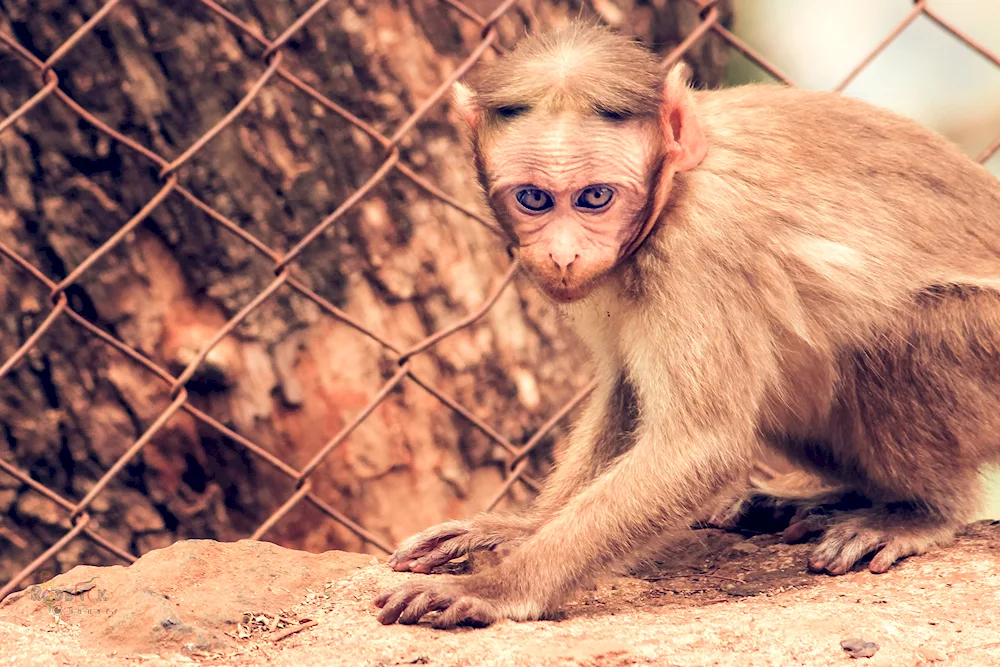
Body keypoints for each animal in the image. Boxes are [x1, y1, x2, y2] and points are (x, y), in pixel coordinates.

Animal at [374, 19, 1000, 628]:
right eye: (534, 199)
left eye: (595, 197)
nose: (563, 254)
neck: (676, 186)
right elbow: (627, 392)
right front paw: (519, 529)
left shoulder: (701, 242)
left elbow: (699, 446)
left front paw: (496, 587)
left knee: (899, 336)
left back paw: (920, 511)